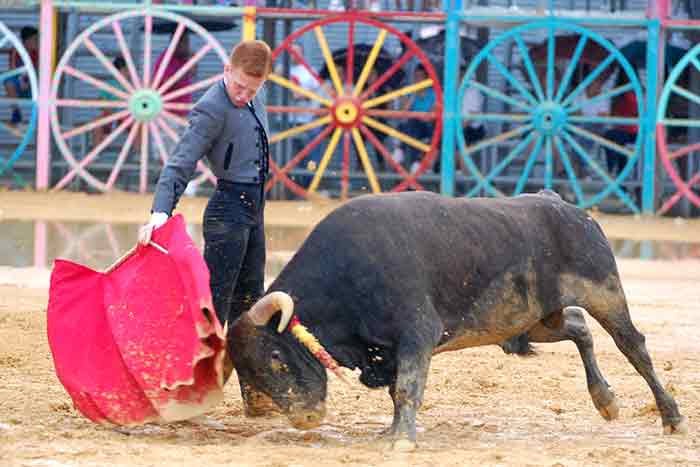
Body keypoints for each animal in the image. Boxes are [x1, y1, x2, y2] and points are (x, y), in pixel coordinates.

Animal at [227, 191, 688, 450]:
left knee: (634, 348)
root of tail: (563, 205)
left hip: (605, 294)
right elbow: (397, 390)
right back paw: (605, 400)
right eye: (249, 375)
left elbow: (407, 388)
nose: (304, 419)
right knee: (578, 328)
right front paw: (391, 432)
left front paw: (401, 441)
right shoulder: (390, 351)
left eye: (276, 357)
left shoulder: (417, 334)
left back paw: (671, 416)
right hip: (536, 320)